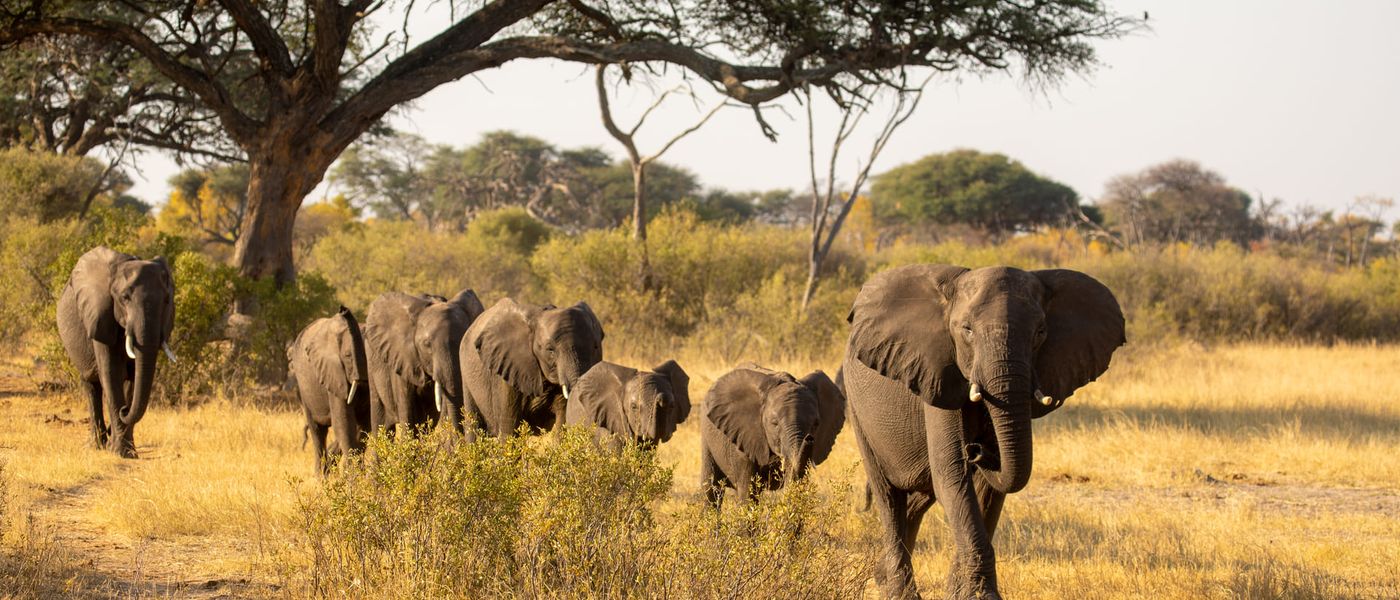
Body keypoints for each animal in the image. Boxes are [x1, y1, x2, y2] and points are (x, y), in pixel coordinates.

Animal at [56, 246, 176, 458]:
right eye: (124, 298)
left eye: (167, 300)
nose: (124, 410)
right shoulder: (100, 316)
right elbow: (111, 374)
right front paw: (120, 452)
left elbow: (134, 378)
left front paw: (126, 451)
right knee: (92, 386)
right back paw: (96, 445)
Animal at [288, 306, 371, 474]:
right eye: (348, 356)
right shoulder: (333, 374)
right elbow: (343, 423)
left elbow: (364, 427)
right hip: (304, 389)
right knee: (318, 431)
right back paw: (321, 477)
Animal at [699, 363, 845, 508]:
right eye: (774, 423)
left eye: (816, 424)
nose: (809, 438)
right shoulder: (743, 439)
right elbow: (748, 494)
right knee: (711, 489)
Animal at [843, 264, 1125, 600]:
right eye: (966, 330)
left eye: (1040, 332)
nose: (976, 450)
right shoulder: (938, 376)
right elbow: (952, 474)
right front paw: (978, 595)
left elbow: (987, 490)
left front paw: (967, 594)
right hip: (857, 409)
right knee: (890, 499)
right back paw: (898, 591)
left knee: (920, 497)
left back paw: (882, 576)